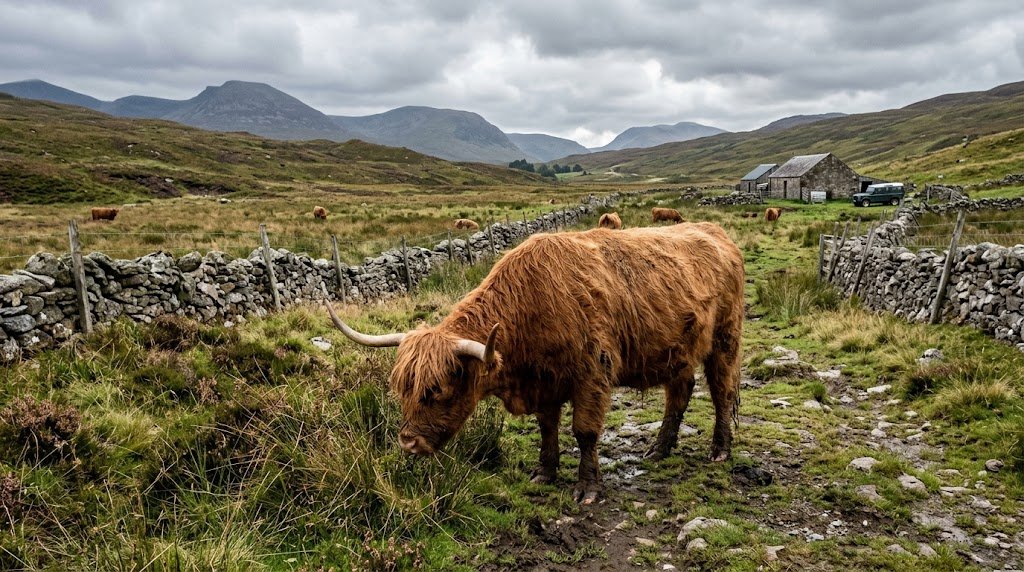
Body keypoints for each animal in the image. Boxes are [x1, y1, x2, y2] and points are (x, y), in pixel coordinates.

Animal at [324, 222, 744, 504]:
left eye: (439, 391)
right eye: (402, 389)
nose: (408, 443)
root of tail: (714, 230)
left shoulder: (593, 373)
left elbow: (584, 432)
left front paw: (587, 488)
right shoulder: (545, 380)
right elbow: (547, 428)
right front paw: (545, 472)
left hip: (725, 338)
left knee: (721, 391)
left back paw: (720, 449)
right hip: (678, 350)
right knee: (680, 391)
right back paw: (659, 449)